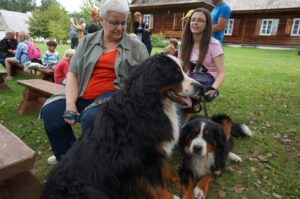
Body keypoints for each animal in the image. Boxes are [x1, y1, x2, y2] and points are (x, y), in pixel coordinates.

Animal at [42, 54, 200, 199]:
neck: (150, 105)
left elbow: (163, 166)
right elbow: (157, 185)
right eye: (176, 74)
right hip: (90, 191)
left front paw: (174, 177)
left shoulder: (155, 148)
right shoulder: (146, 155)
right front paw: (169, 195)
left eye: (183, 70)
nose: (200, 86)